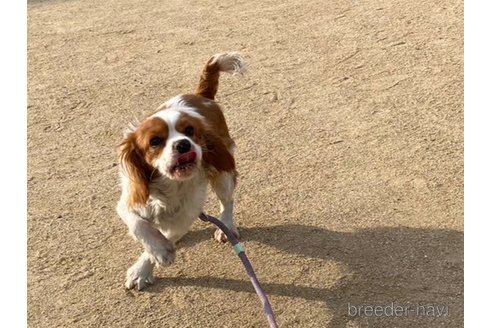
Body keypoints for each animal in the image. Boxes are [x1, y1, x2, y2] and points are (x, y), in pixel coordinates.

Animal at [116, 51, 246, 290]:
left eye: (190, 131)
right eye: (155, 141)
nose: (184, 144)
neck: (169, 186)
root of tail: (201, 95)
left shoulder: (187, 214)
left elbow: (168, 235)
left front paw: (152, 260)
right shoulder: (128, 202)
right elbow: (140, 225)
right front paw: (154, 255)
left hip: (223, 173)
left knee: (227, 201)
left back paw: (227, 226)